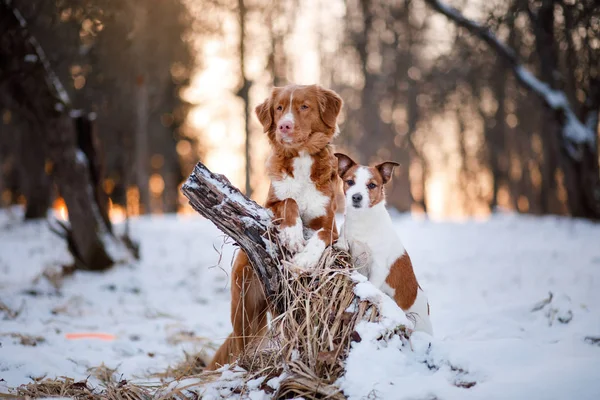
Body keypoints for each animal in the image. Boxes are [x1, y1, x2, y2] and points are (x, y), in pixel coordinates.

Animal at [209, 84, 342, 368]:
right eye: (279, 108)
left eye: (304, 106)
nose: (284, 126)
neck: (301, 158)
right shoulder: (269, 204)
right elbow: (288, 201)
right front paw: (292, 235)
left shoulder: (332, 226)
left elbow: (321, 235)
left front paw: (304, 260)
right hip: (243, 307)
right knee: (239, 345)